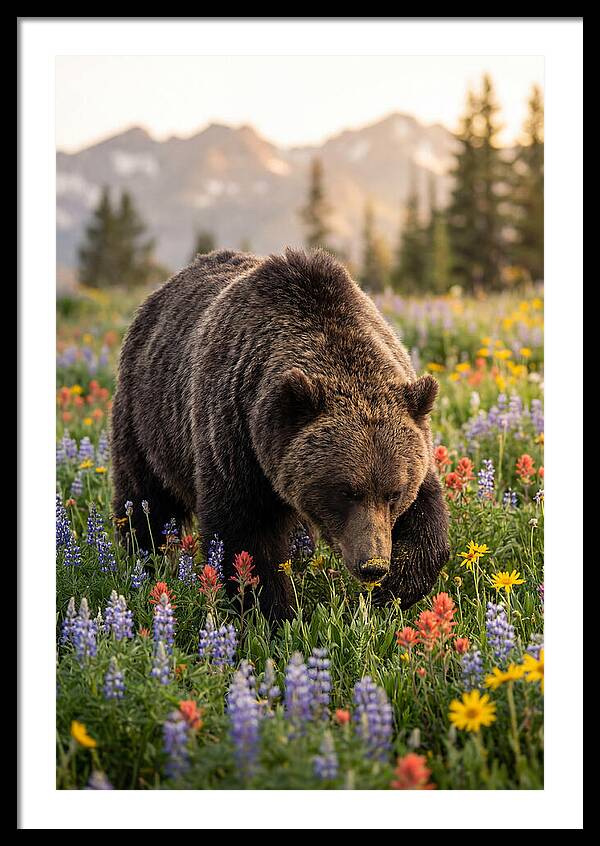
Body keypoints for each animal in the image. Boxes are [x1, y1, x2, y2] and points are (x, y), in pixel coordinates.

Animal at [110, 248, 449, 619]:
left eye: (394, 492)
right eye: (346, 491)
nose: (372, 565)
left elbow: (427, 517)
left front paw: (394, 590)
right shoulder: (235, 437)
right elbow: (245, 536)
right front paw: (273, 613)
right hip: (147, 420)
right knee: (145, 499)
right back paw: (141, 561)